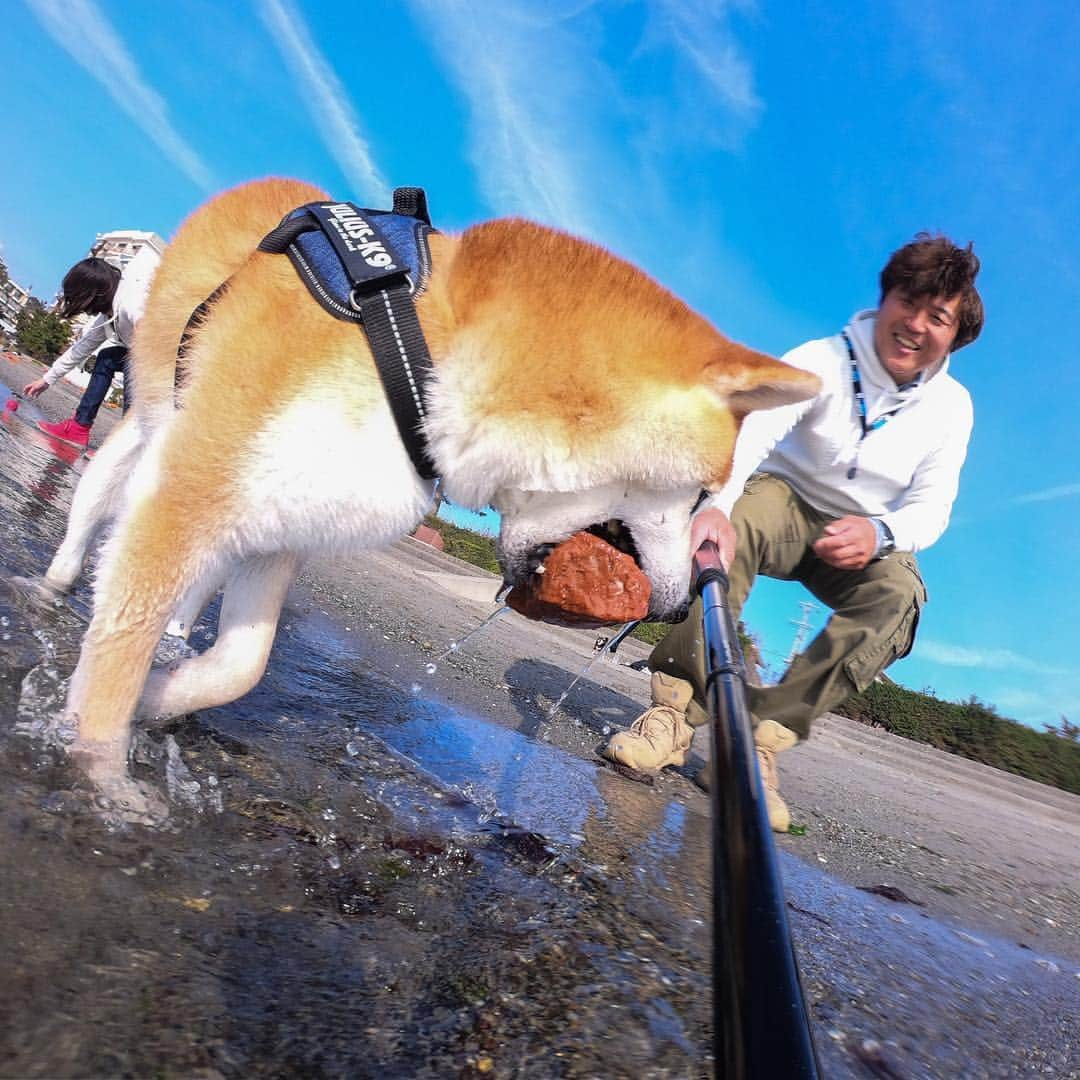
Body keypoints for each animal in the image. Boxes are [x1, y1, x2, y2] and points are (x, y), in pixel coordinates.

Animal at [39, 179, 816, 816]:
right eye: (704, 494)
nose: (687, 606)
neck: (422, 359)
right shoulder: (192, 494)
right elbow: (118, 655)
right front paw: (98, 773)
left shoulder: (287, 527)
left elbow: (241, 666)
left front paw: (159, 696)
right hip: (149, 430)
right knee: (96, 511)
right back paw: (58, 581)